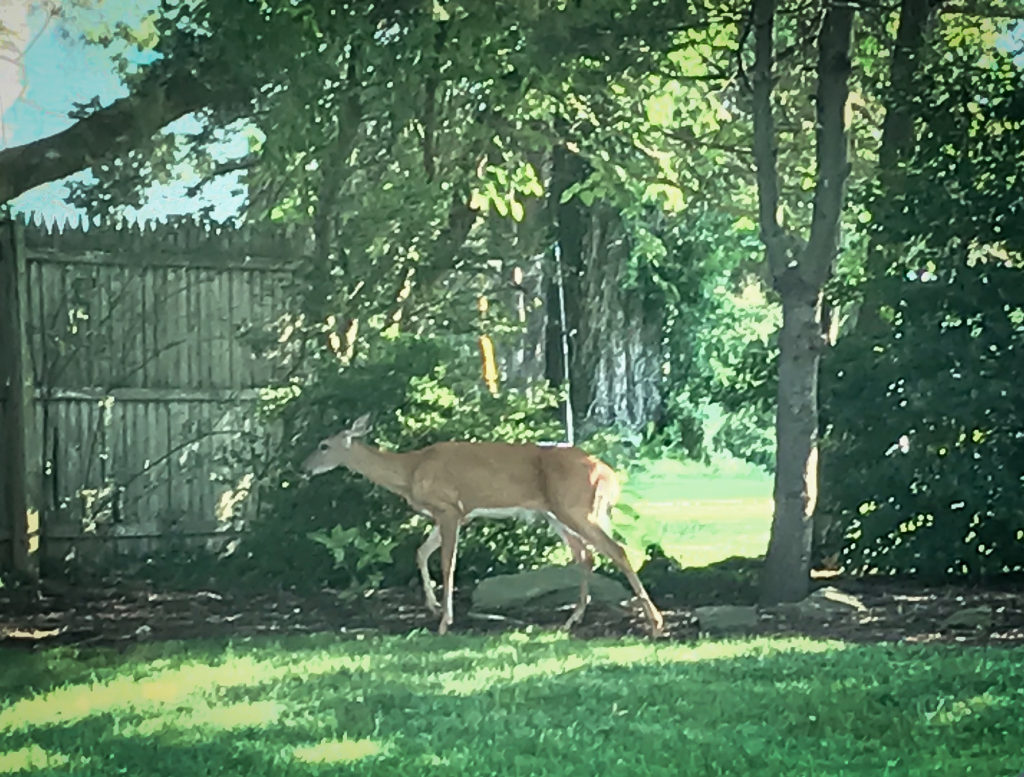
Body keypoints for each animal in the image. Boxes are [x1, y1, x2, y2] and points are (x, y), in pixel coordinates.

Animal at [301, 413, 663, 638]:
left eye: (323, 445)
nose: (302, 468)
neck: (410, 471)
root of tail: (609, 475)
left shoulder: (450, 509)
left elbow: (447, 564)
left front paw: (445, 621)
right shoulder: (452, 513)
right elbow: (420, 552)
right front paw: (432, 606)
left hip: (576, 508)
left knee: (616, 550)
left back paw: (655, 622)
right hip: (558, 514)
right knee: (586, 556)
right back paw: (572, 619)